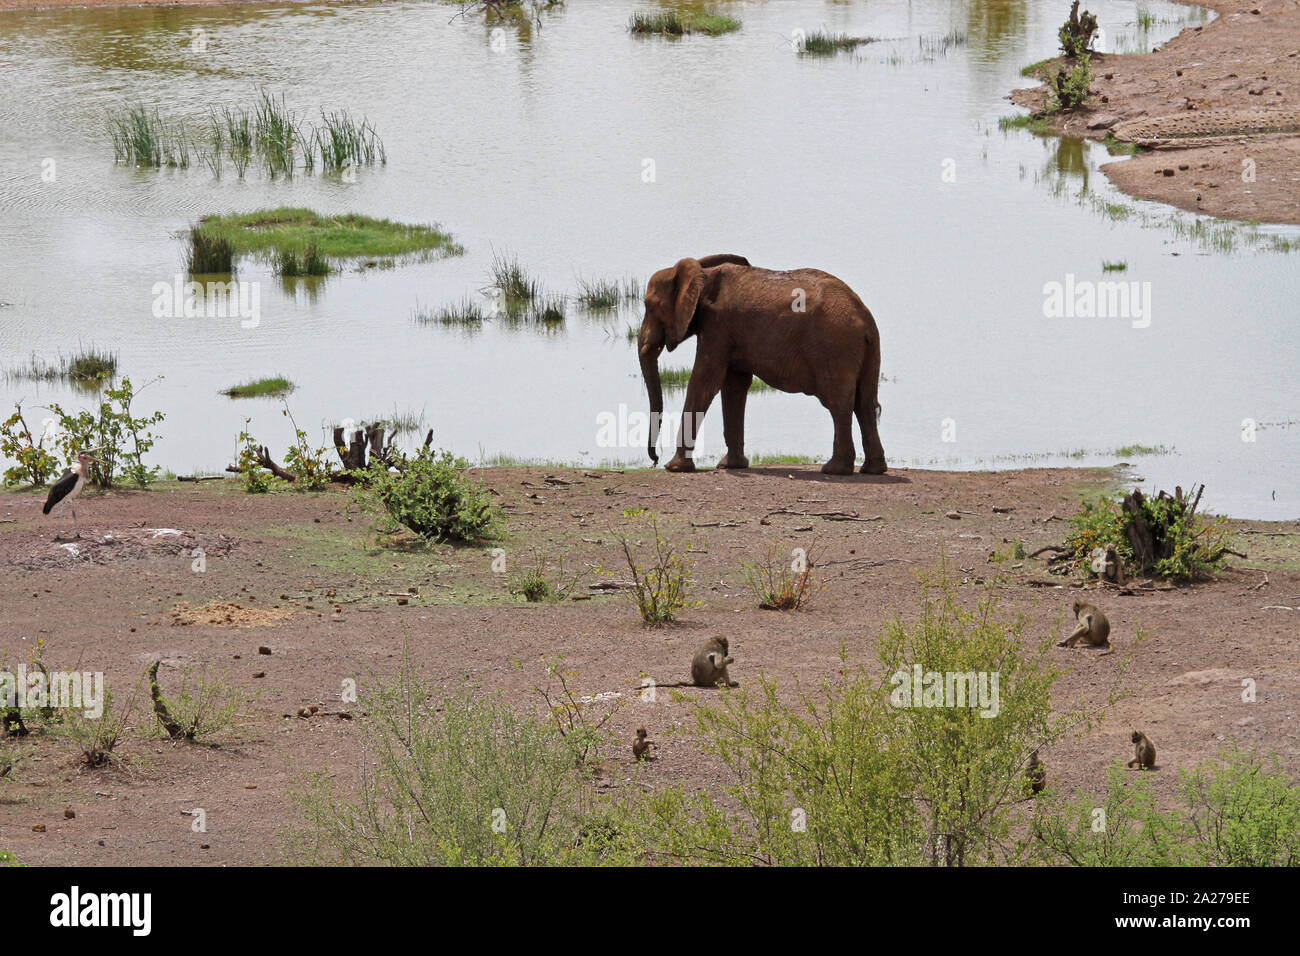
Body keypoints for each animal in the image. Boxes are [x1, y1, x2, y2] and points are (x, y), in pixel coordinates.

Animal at [637, 255, 886, 476]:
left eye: (649, 305)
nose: (655, 459)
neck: (702, 273)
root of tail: (865, 320)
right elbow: (734, 387)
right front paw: (731, 466)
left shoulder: (717, 327)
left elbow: (704, 382)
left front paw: (675, 468)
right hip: (867, 349)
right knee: (864, 402)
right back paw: (872, 469)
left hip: (834, 346)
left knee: (839, 403)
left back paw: (835, 470)